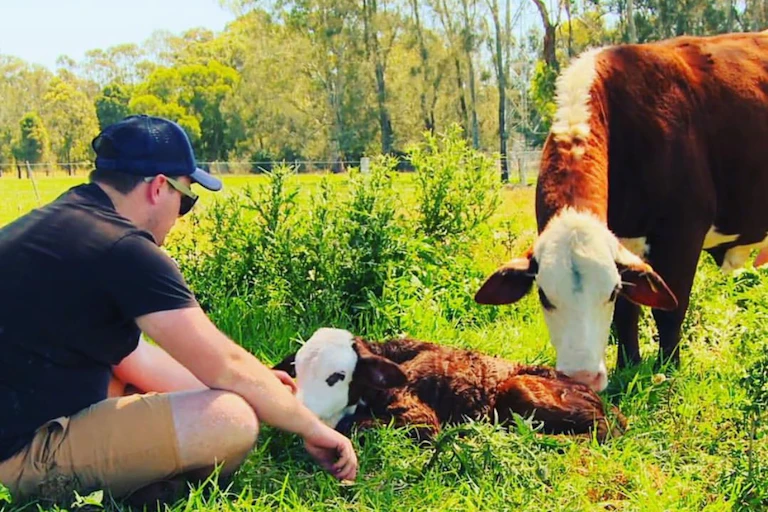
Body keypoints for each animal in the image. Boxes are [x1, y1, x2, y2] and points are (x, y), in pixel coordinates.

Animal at [273, 328, 627, 443]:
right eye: (297, 370)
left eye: (337, 376)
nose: (299, 408)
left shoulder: (421, 421)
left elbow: (355, 427)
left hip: (521, 387)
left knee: (601, 431)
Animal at [474, 31, 768, 392]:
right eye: (543, 295)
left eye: (610, 291)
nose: (582, 378)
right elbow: (627, 315)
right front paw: (628, 364)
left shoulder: (682, 233)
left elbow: (669, 311)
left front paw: (668, 369)